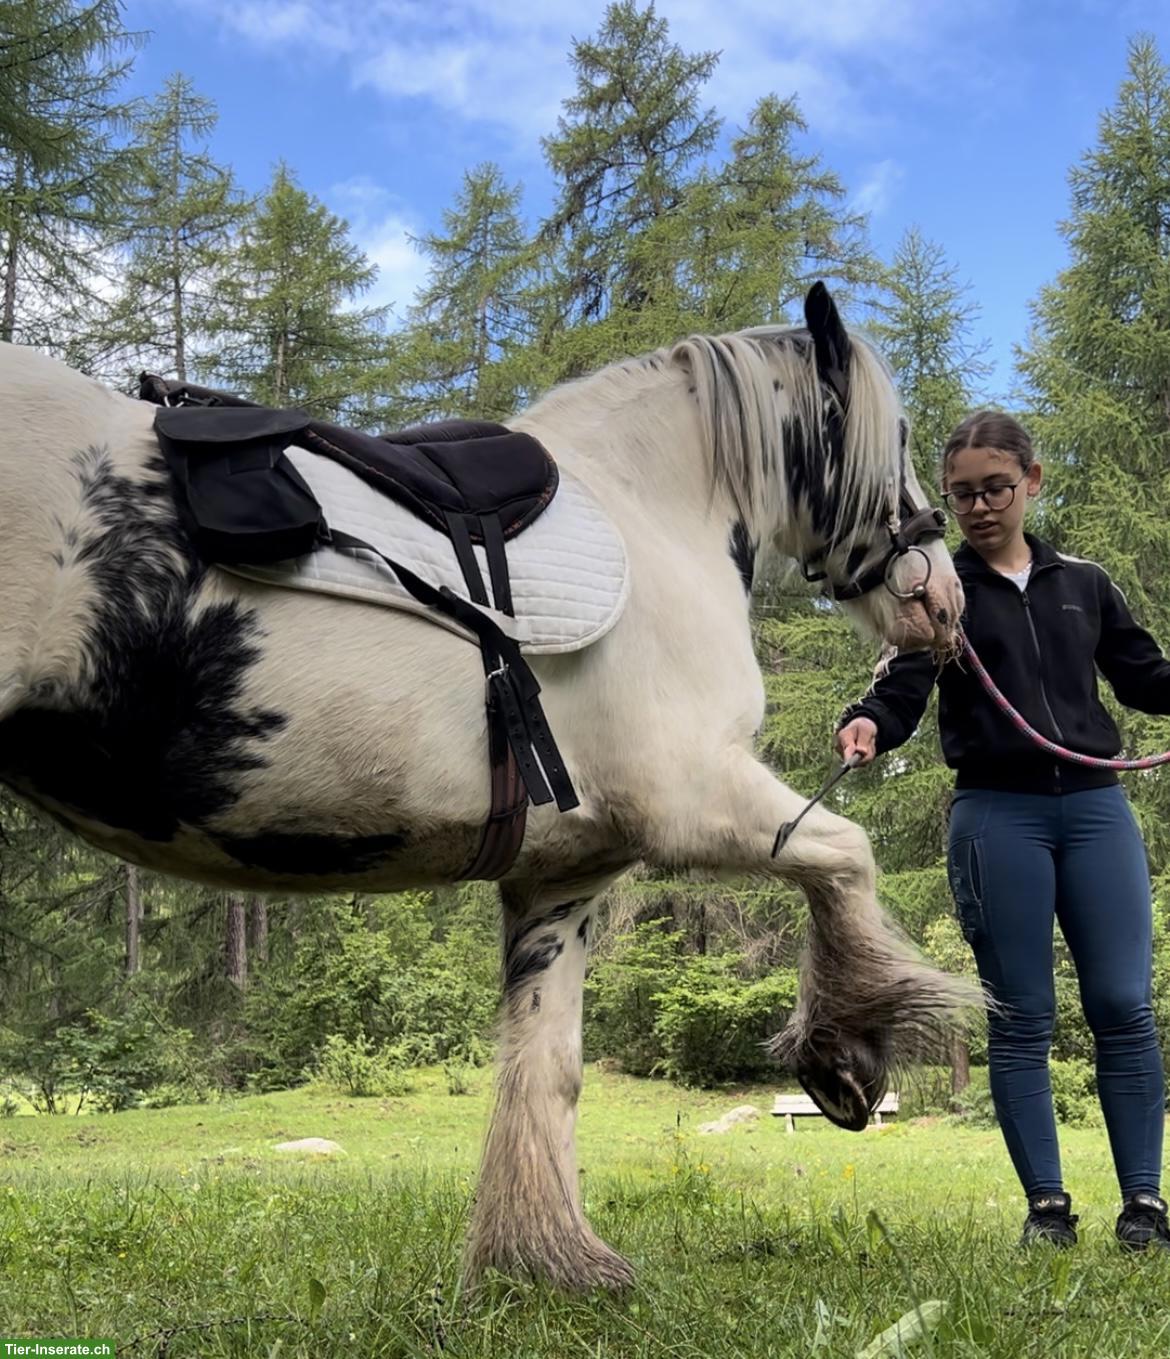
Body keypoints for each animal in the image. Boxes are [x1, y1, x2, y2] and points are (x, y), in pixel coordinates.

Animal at [0, 283, 965, 1291]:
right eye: (894, 438)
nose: (945, 601)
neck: (650, 514)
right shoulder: (696, 797)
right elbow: (846, 858)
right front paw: (844, 1057)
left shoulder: (562, 879)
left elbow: (546, 1069)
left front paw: (542, 1257)